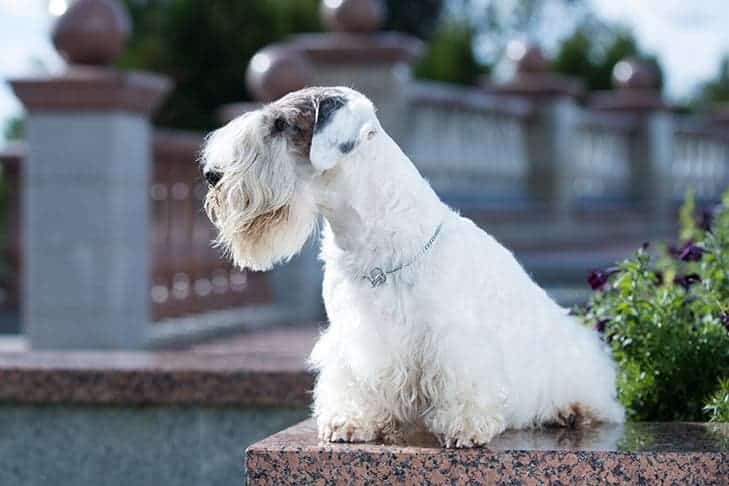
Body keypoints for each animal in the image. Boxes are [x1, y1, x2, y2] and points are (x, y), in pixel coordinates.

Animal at [202, 86, 624, 448]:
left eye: (279, 125)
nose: (212, 176)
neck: (373, 240)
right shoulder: (353, 337)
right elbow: (352, 381)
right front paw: (350, 421)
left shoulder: (453, 338)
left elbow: (463, 381)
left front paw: (464, 427)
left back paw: (573, 410)